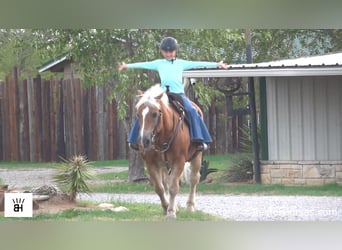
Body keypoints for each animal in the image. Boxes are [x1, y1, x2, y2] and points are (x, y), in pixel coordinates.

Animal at [134, 83, 203, 218]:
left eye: (154, 114)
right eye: (138, 114)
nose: (145, 141)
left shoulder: (179, 161)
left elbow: (173, 187)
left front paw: (171, 212)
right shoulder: (151, 164)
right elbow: (159, 187)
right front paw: (167, 207)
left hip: (197, 156)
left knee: (193, 179)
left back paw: (190, 206)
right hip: (165, 165)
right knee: (167, 181)